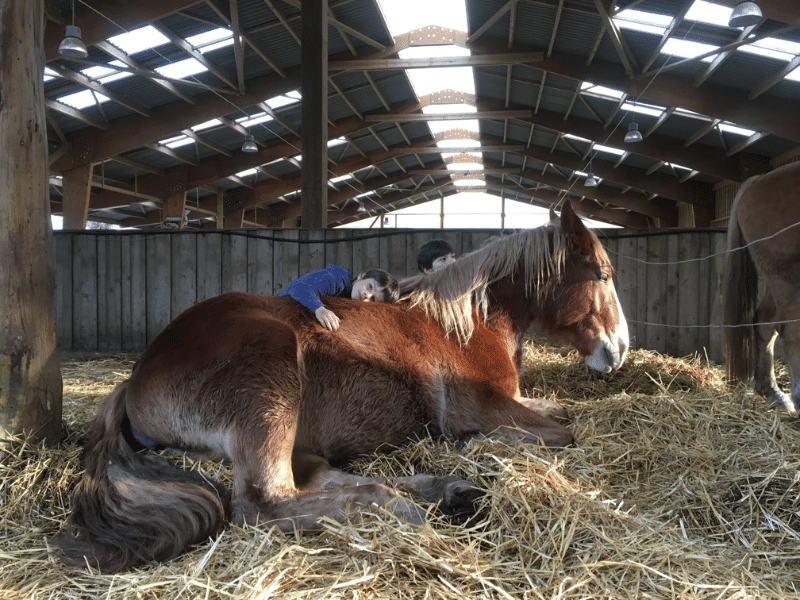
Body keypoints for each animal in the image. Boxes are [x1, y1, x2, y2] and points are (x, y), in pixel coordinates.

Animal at [57, 200, 632, 572]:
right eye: (603, 275)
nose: (619, 349)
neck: (465, 323)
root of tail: (136, 380)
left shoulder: (513, 401)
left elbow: (559, 413)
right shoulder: (482, 408)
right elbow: (561, 433)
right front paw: (475, 447)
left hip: (294, 436)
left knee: (316, 480)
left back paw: (444, 491)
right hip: (271, 388)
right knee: (263, 503)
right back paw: (405, 504)